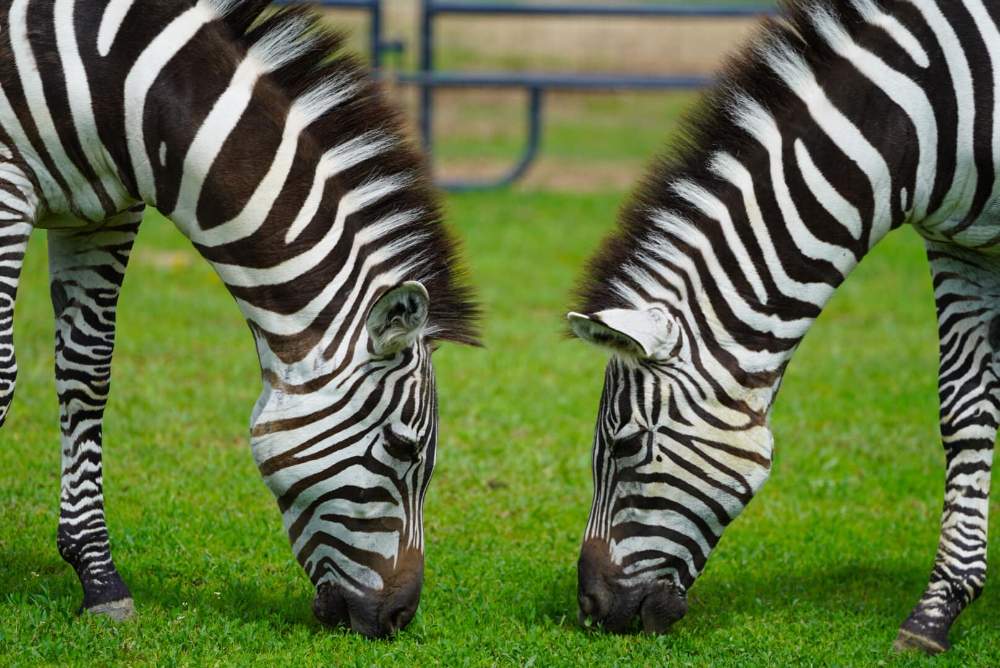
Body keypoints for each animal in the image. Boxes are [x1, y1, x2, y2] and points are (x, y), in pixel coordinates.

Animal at [0, 0, 477, 638]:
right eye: (404, 448)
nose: (400, 618)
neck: (126, 86)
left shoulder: (104, 214)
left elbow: (86, 375)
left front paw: (99, 579)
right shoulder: (5, 187)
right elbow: (5, 376)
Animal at [568, 0, 1000, 653]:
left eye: (626, 444)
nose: (591, 608)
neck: (925, 117)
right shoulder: (959, 246)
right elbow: (965, 410)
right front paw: (936, 611)